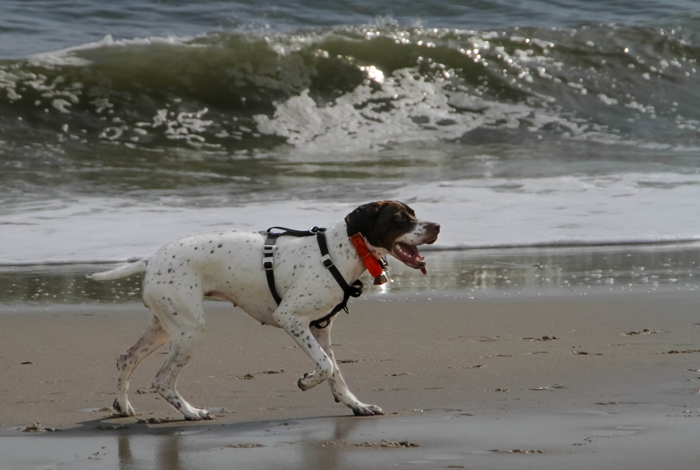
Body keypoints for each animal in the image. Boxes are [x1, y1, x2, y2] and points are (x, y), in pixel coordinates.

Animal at [90, 200, 440, 420]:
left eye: (414, 213)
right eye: (399, 219)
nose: (436, 225)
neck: (343, 250)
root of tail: (152, 258)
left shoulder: (321, 329)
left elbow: (335, 372)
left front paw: (356, 405)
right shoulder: (291, 318)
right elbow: (326, 367)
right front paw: (306, 381)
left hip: (165, 328)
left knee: (125, 359)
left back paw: (123, 406)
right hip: (190, 331)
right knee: (162, 379)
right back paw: (191, 412)